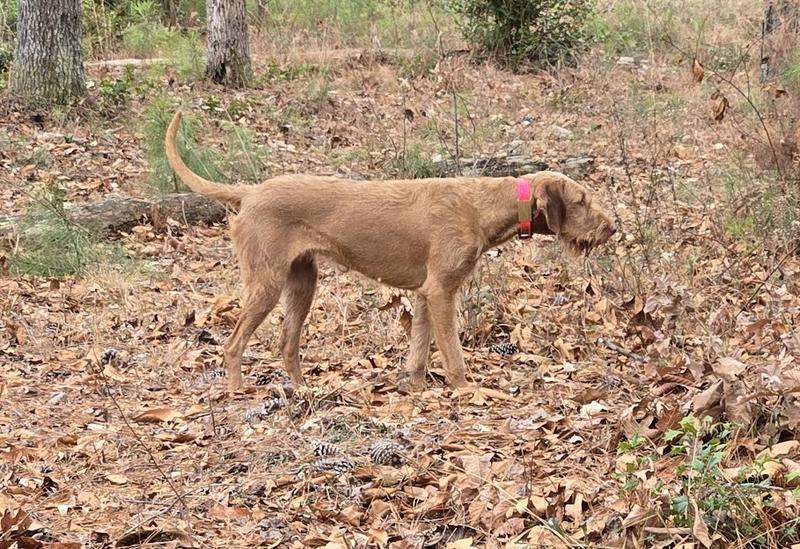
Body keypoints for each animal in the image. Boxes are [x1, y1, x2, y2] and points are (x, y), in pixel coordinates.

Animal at [165, 111, 617, 392]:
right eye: (582, 201)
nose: (613, 227)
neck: (481, 206)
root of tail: (250, 192)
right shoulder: (442, 291)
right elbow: (452, 353)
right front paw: (467, 391)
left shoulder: (425, 294)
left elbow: (419, 351)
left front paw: (415, 389)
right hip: (266, 284)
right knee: (233, 344)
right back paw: (238, 393)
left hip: (302, 283)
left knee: (286, 345)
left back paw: (302, 391)